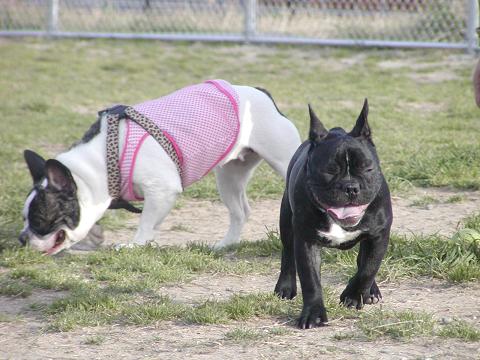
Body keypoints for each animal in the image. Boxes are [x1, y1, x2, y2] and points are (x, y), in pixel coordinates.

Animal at [20, 81, 302, 256]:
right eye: (24, 219)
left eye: (39, 220)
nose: (22, 238)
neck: (102, 162)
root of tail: (261, 93)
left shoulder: (161, 190)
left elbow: (146, 221)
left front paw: (135, 245)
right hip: (229, 177)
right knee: (240, 212)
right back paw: (225, 245)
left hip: (284, 161)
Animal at [276, 99, 392, 330]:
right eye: (328, 171)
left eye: (367, 168)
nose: (350, 187)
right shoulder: (306, 241)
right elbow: (311, 280)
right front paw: (313, 314)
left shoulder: (379, 235)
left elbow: (369, 267)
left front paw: (354, 295)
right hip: (285, 221)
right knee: (287, 254)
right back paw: (285, 287)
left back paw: (371, 291)